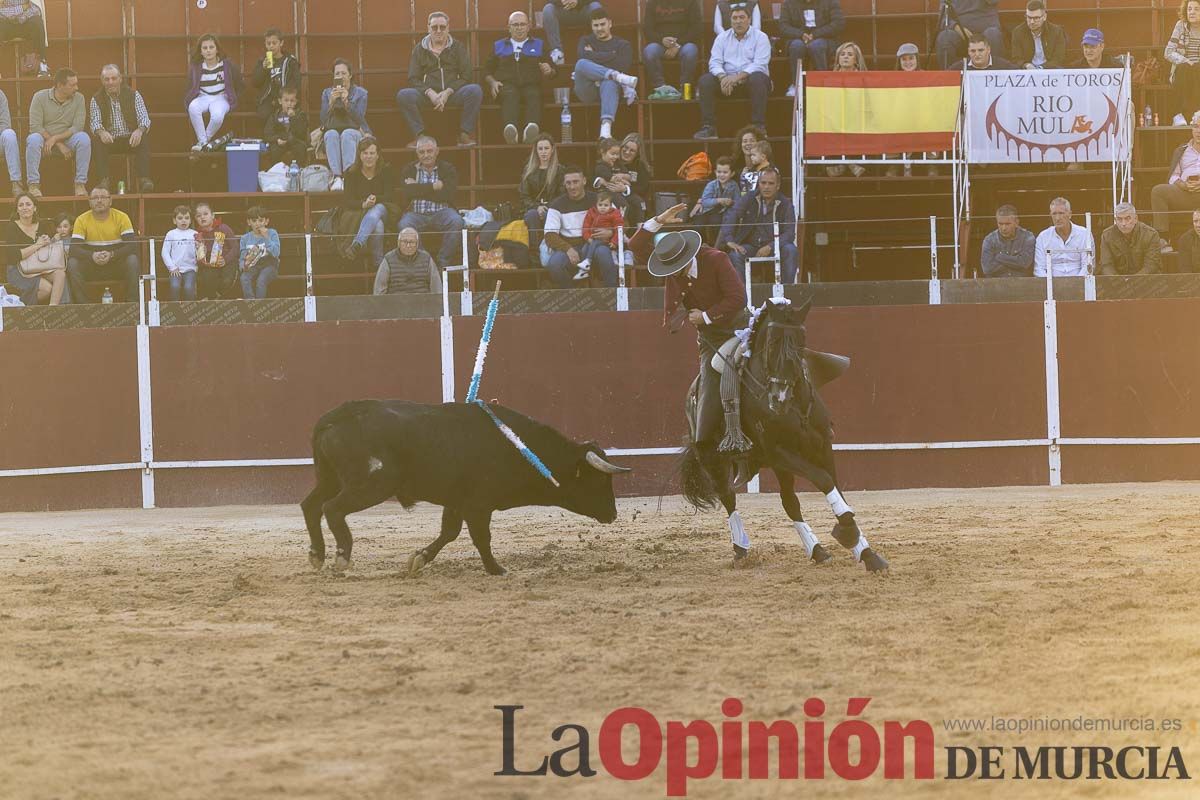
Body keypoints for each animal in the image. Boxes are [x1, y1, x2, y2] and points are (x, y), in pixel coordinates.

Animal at [300, 400, 633, 575]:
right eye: (600, 479)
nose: (613, 514)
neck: (517, 447)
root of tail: (337, 416)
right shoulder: (478, 505)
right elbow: (481, 537)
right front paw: (496, 568)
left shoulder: (456, 502)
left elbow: (449, 532)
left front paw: (420, 558)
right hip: (372, 484)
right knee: (332, 508)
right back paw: (341, 557)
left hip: (330, 479)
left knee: (311, 506)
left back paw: (317, 555)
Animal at [681, 297, 888, 573]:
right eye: (771, 344)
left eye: (801, 343)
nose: (778, 398)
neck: (795, 406)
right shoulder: (778, 453)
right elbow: (823, 479)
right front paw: (848, 532)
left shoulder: (823, 445)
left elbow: (834, 486)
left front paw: (866, 552)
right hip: (711, 456)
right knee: (728, 496)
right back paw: (740, 548)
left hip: (779, 467)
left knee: (789, 501)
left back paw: (817, 550)